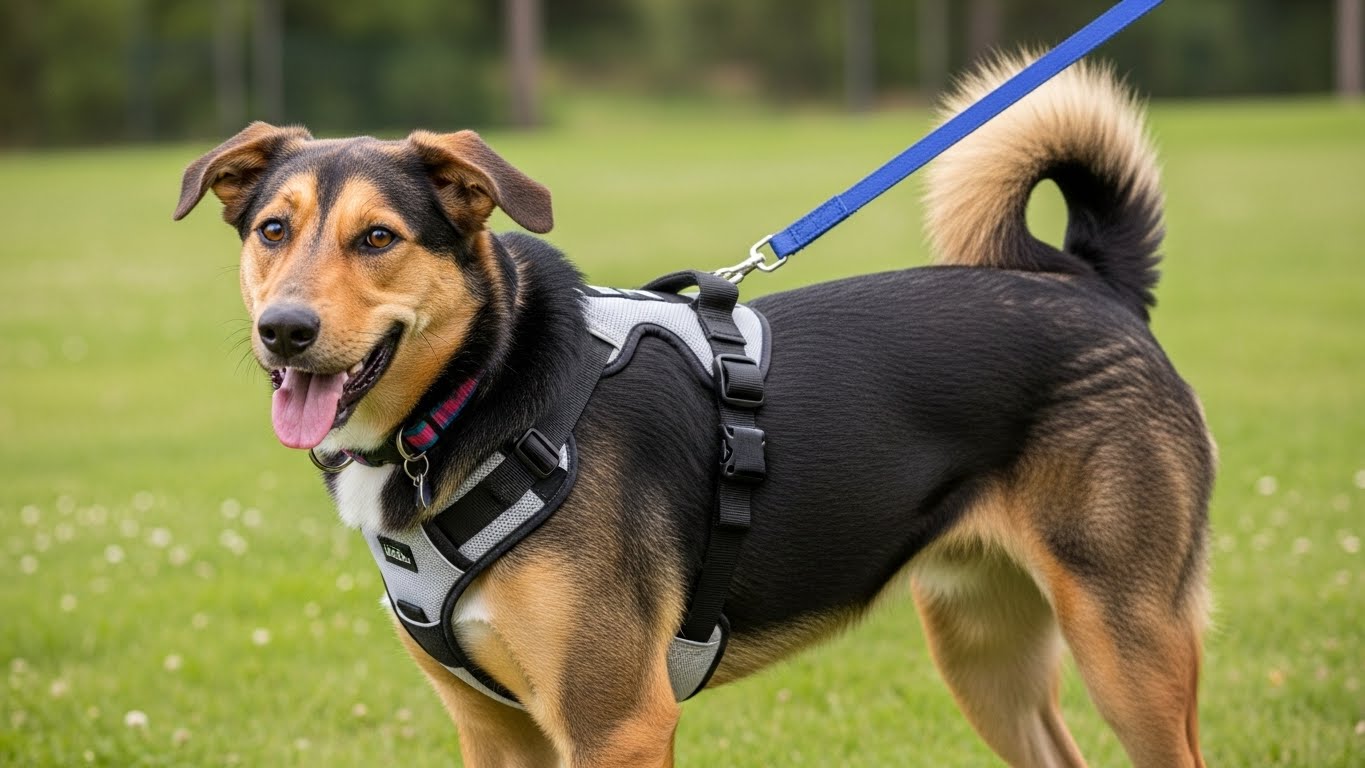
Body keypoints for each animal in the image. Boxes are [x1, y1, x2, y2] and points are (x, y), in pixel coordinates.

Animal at [175, 57, 1213, 767]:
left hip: (1128, 645)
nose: (284, 330)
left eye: (378, 239)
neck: (482, 393)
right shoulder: (496, 731)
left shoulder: (616, 723)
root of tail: (1094, 284)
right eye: (273, 231)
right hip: (984, 650)